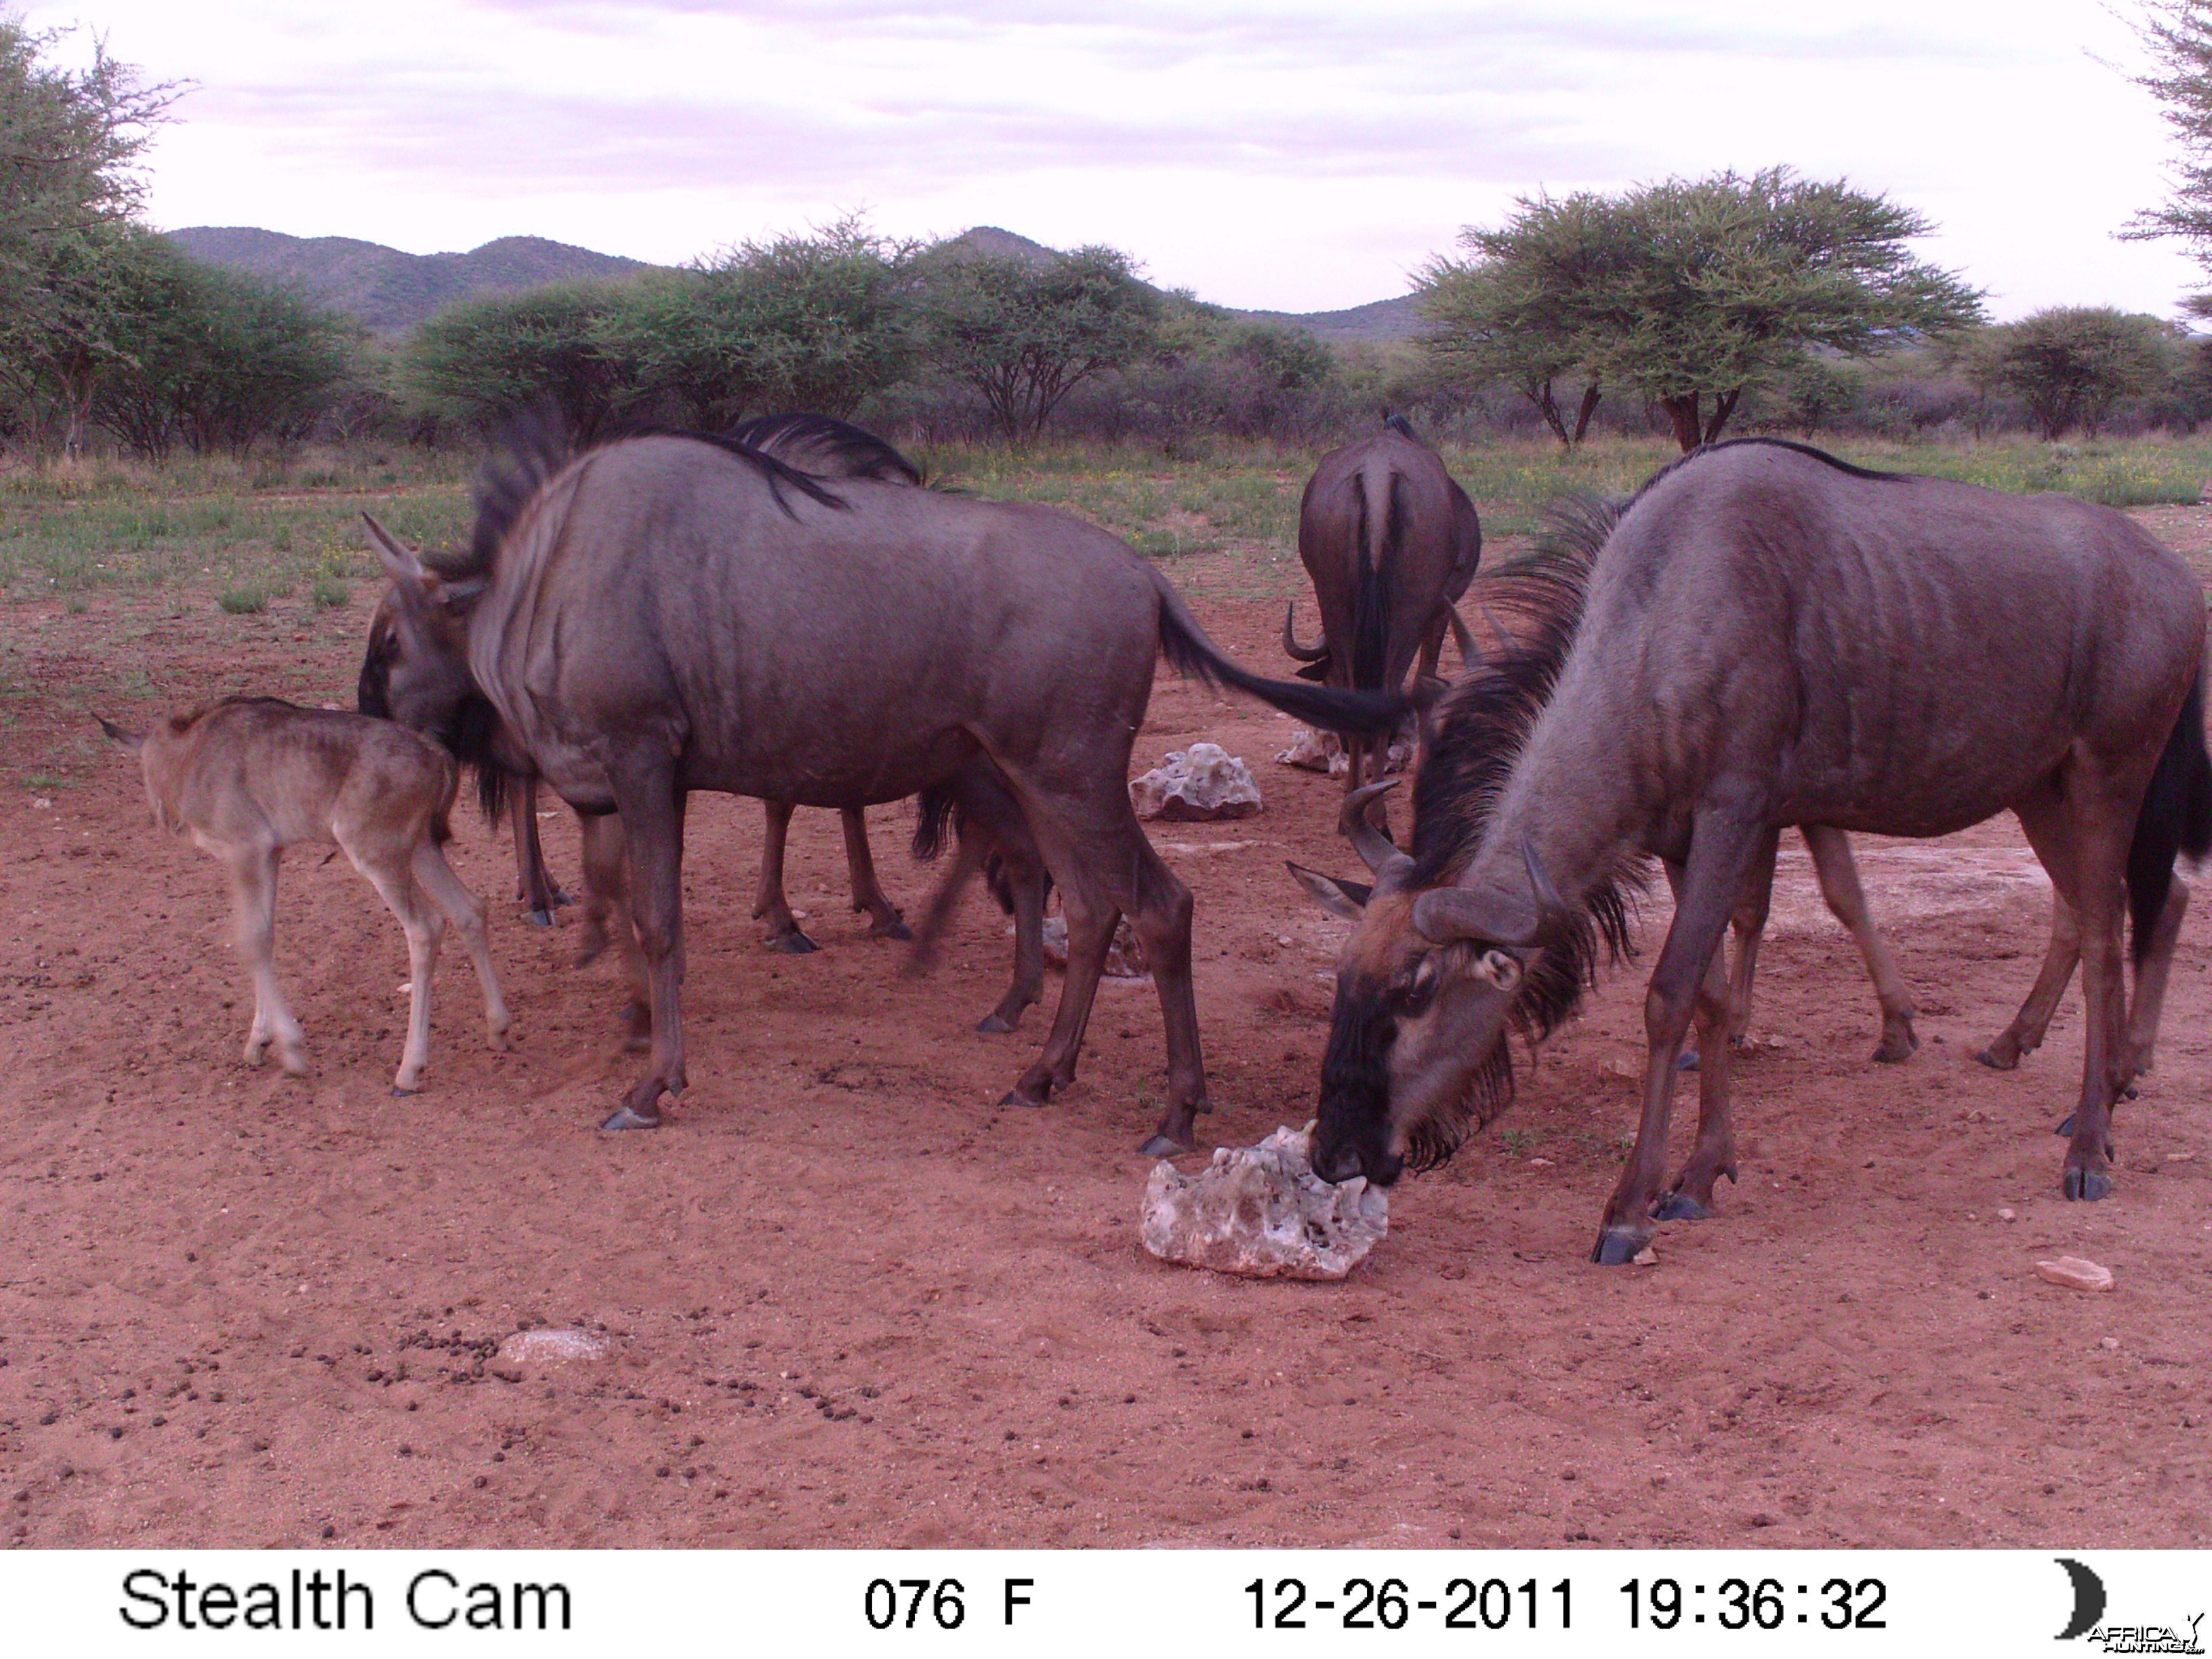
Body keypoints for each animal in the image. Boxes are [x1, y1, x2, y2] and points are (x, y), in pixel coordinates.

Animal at [102, 699, 510, 1097]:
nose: (161, 817)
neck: (188, 754)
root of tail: (439, 759)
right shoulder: (271, 852)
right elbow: (265, 935)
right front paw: (259, 1041)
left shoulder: (246, 847)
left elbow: (250, 940)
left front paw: (292, 1051)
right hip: (421, 847)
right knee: (469, 909)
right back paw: (498, 1028)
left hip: (377, 852)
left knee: (425, 926)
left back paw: (409, 1069)